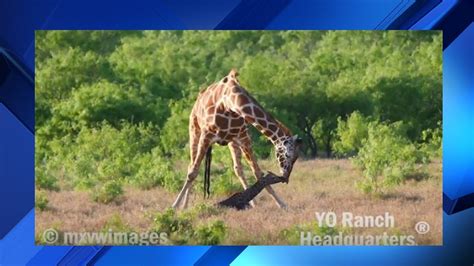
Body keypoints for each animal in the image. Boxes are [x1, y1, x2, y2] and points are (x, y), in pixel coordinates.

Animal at [172, 68, 302, 210]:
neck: (230, 103)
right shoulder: (207, 136)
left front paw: (281, 204)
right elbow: (193, 172)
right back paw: (184, 205)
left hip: (232, 142)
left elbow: (258, 173)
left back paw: (252, 203)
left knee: (238, 169)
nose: (285, 177)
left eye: (296, 158)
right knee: (191, 166)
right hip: (194, 131)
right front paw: (175, 206)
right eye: (287, 155)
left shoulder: (243, 138)